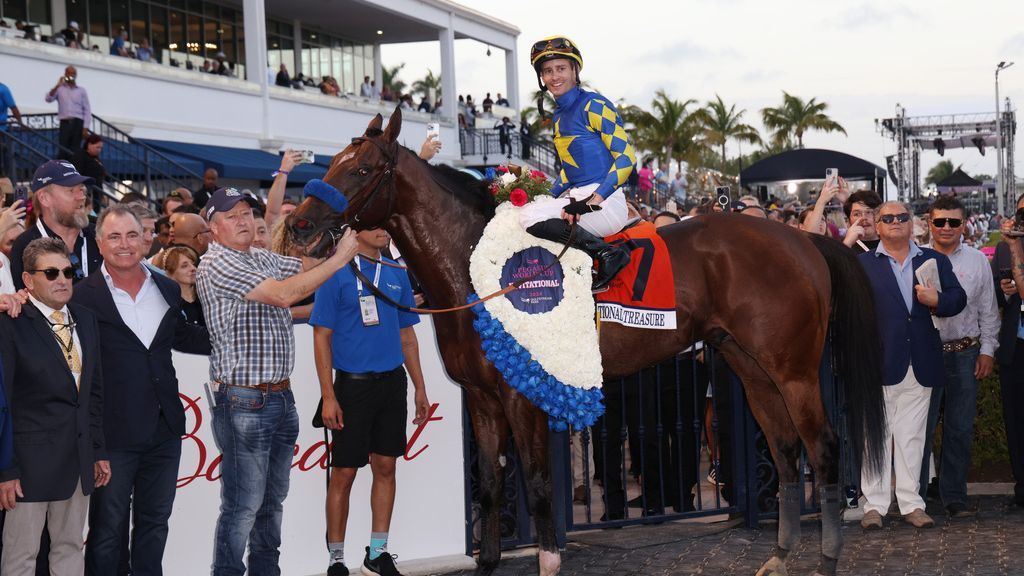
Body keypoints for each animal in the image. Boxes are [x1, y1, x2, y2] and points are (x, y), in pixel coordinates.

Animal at [292, 108, 884, 573]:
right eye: (331, 163)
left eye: (361, 169)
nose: (298, 225)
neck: (474, 266)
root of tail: (802, 239)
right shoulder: (481, 398)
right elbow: (489, 486)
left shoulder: (522, 396)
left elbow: (535, 484)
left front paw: (550, 559)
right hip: (749, 366)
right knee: (785, 451)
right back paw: (780, 556)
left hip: (795, 370)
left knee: (824, 449)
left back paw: (827, 558)